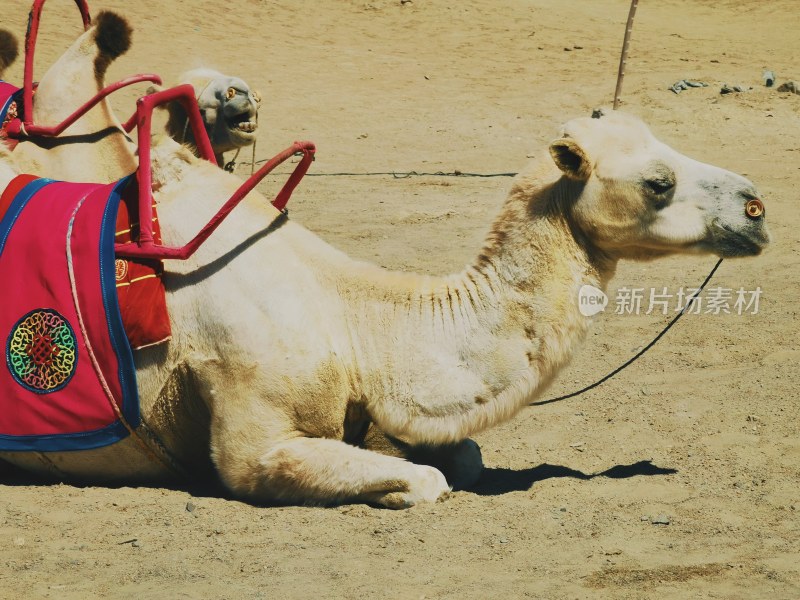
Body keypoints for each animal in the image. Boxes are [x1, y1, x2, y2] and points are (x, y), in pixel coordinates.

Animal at [0, 106, 772, 506]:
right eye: (657, 182)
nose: (757, 207)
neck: (354, 324)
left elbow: (463, 458)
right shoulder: (252, 433)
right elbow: (429, 479)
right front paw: (395, 490)